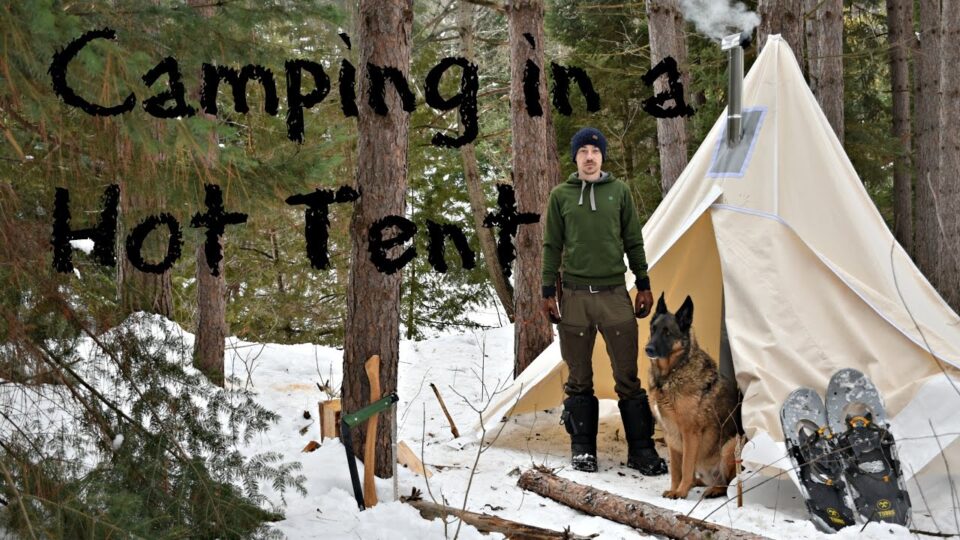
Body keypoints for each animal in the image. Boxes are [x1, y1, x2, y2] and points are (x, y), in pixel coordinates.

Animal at [644, 294, 744, 500]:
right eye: (653, 329)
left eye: (667, 333)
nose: (648, 349)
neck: (671, 373)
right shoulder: (670, 435)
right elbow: (676, 470)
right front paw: (675, 489)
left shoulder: (690, 433)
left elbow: (686, 465)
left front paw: (681, 492)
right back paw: (696, 483)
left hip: (731, 445)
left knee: (728, 484)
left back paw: (712, 490)